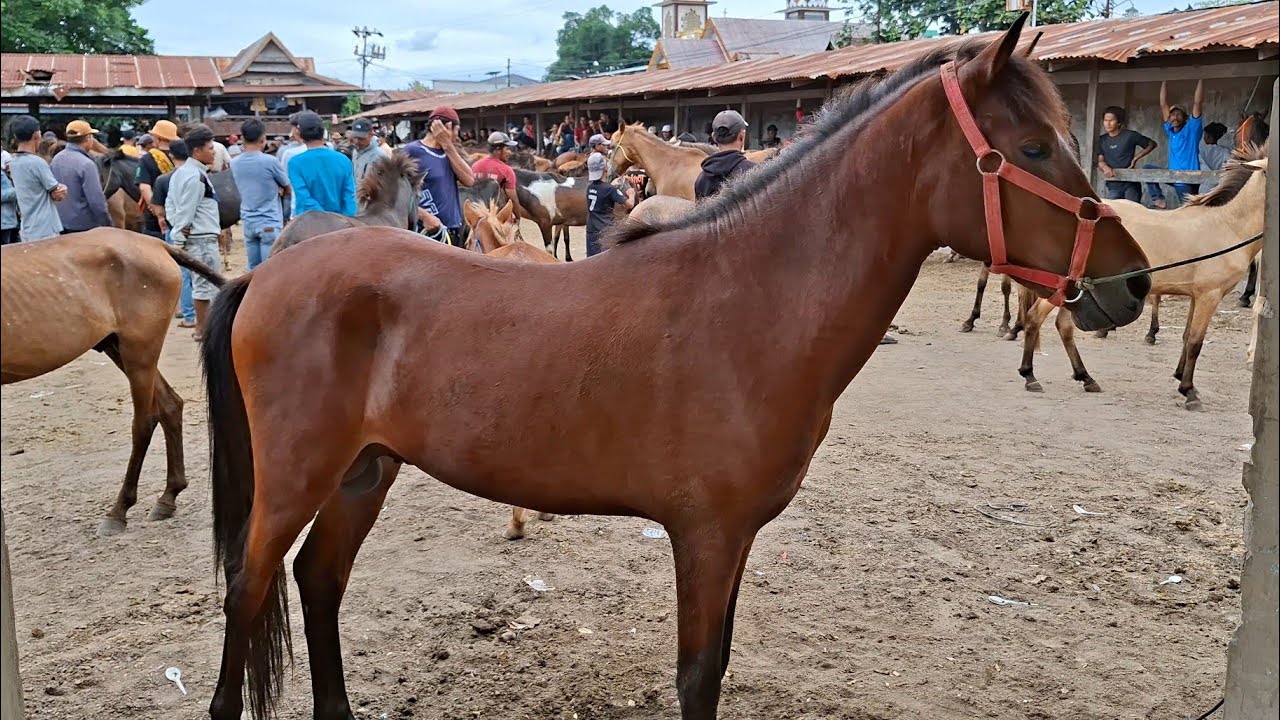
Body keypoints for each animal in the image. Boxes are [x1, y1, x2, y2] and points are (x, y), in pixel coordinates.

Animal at [1, 228, 225, 536]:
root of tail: (155, 243)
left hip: (139, 350)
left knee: (144, 423)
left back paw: (119, 510)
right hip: (117, 346)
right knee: (170, 405)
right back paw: (168, 496)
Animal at [1011, 147, 1267, 409]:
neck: (1226, 225)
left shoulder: (1196, 296)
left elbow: (1186, 337)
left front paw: (1180, 378)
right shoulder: (1209, 296)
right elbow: (1196, 342)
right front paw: (1189, 391)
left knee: (1063, 326)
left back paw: (1085, 377)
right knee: (1034, 318)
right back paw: (1030, 375)